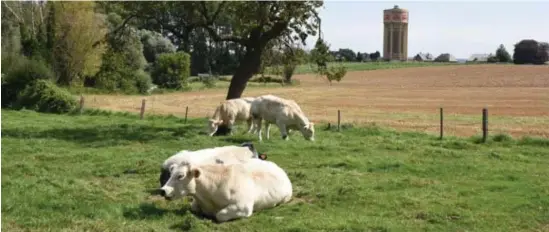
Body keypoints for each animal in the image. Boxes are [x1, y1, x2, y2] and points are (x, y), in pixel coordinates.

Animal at [159, 159, 292, 222]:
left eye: (180, 176)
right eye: (171, 174)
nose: (163, 190)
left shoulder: (243, 206)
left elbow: (220, 215)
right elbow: (194, 207)